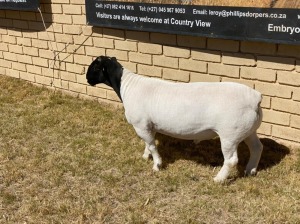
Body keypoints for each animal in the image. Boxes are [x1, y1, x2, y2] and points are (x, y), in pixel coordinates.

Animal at [86, 55, 262, 182]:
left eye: (95, 66)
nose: (87, 78)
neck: (128, 86)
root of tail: (255, 97)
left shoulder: (140, 124)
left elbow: (152, 145)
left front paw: (157, 165)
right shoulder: (147, 125)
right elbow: (148, 143)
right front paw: (145, 157)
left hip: (230, 134)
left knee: (231, 160)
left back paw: (219, 179)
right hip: (248, 130)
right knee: (257, 148)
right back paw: (250, 170)